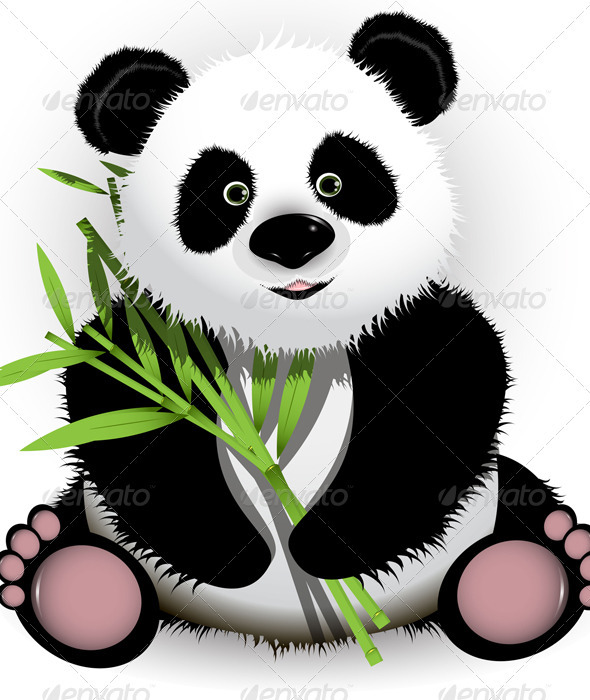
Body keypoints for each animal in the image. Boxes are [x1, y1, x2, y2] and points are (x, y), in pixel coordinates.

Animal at [1, 11, 589, 669]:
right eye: (229, 191)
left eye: (335, 179)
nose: (291, 238)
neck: (289, 347)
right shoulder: (165, 340)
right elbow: (123, 408)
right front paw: (235, 552)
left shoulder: (404, 331)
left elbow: (446, 399)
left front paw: (322, 545)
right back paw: (66, 574)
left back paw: (529, 569)